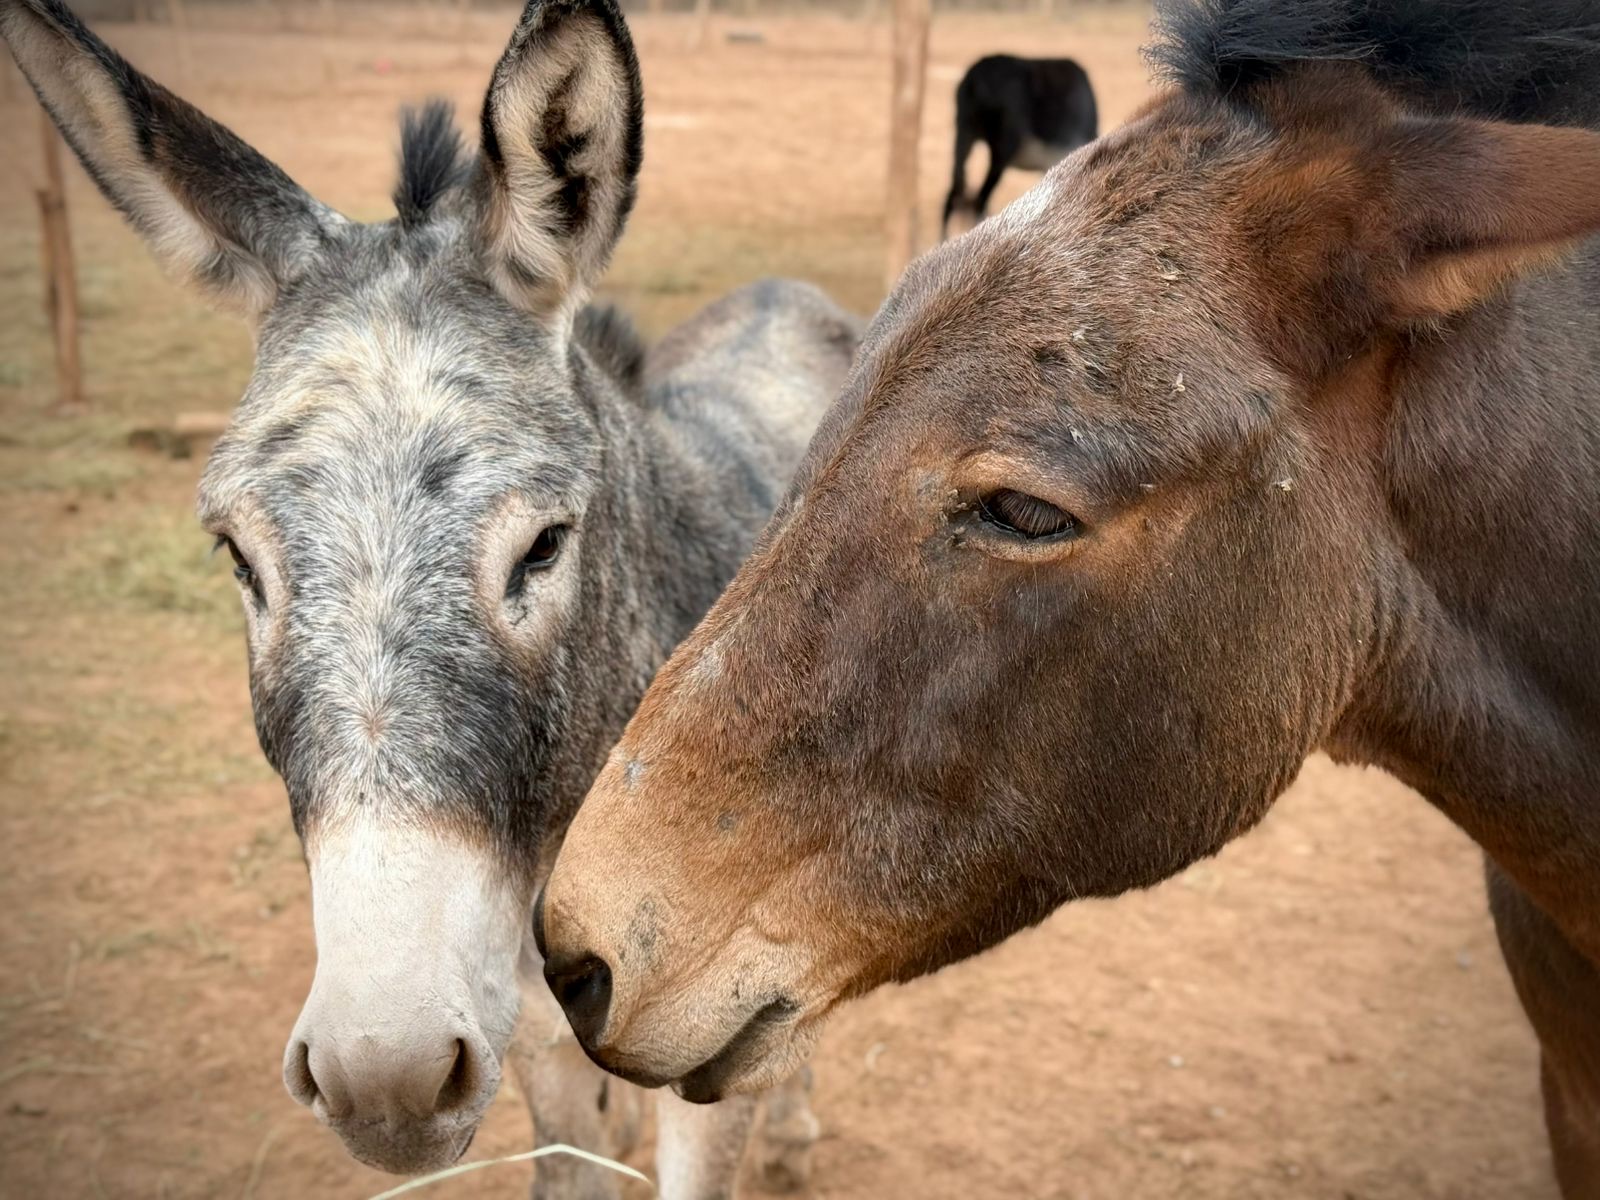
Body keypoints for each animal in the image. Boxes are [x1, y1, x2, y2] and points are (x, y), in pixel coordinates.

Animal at [0, 0, 859, 1193]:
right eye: (236, 556)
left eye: (544, 546)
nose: (385, 1073)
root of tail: (786, 293)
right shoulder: (530, 1035)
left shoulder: (701, 1033)